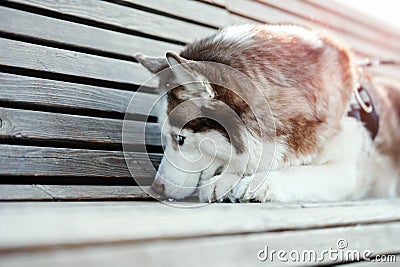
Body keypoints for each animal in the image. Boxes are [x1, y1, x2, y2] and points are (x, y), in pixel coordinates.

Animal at [135, 24, 400, 203]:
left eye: (180, 139)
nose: (157, 188)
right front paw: (225, 181)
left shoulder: (347, 171)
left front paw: (259, 182)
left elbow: (298, 171)